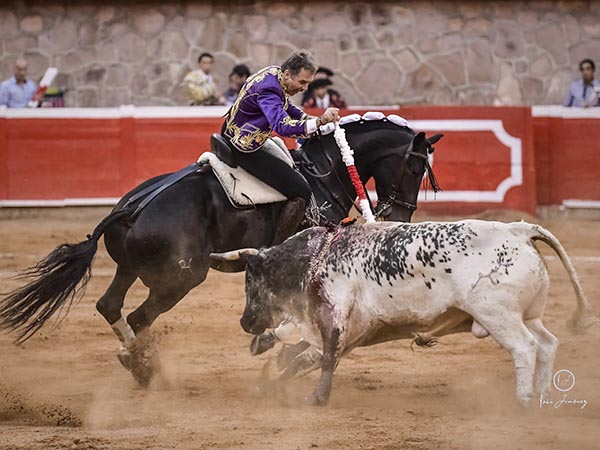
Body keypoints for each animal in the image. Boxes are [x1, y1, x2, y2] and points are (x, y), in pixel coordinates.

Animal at [0, 118, 440, 384]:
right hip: (182, 278)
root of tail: (132, 207)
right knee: (139, 316)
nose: (399, 214)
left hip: (131, 269)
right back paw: (144, 368)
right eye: (414, 167)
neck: (325, 174)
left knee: (109, 306)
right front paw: (274, 345)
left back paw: (134, 360)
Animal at [210, 220, 596, 406]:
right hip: (528, 315)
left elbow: (325, 358)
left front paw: (317, 399)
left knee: (526, 348)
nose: (245, 321)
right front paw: (267, 386)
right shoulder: (351, 330)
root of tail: (519, 230)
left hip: (498, 316)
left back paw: (525, 398)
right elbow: (304, 360)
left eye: (251, 280)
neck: (317, 256)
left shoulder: (334, 315)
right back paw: (543, 394)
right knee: (547, 343)